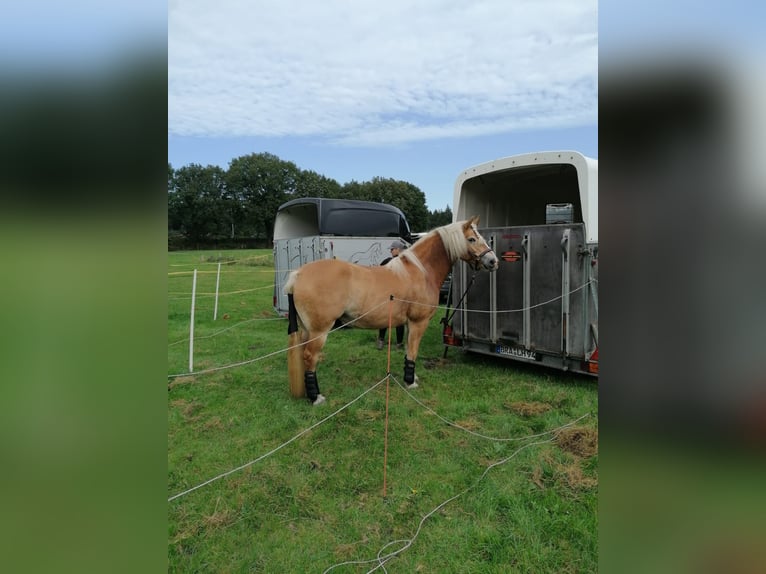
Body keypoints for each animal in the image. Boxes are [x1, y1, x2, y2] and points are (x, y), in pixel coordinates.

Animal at [284, 218, 500, 408]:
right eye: (471, 239)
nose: (493, 261)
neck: (421, 271)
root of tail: (298, 274)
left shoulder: (408, 323)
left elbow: (408, 350)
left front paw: (411, 376)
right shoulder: (418, 322)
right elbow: (413, 351)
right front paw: (410, 382)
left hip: (307, 330)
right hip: (319, 331)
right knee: (310, 357)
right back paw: (316, 398)